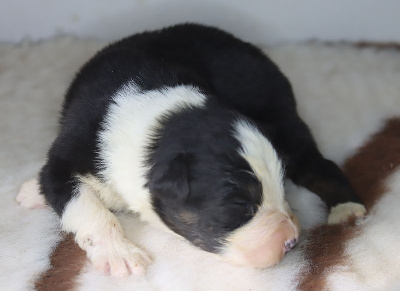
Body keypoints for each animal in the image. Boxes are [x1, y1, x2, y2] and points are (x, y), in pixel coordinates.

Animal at [16, 24, 366, 278]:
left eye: (280, 190)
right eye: (239, 208)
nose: (292, 241)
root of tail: (255, 52)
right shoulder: (64, 159)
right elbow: (85, 205)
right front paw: (121, 254)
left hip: (280, 116)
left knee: (318, 165)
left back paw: (346, 209)